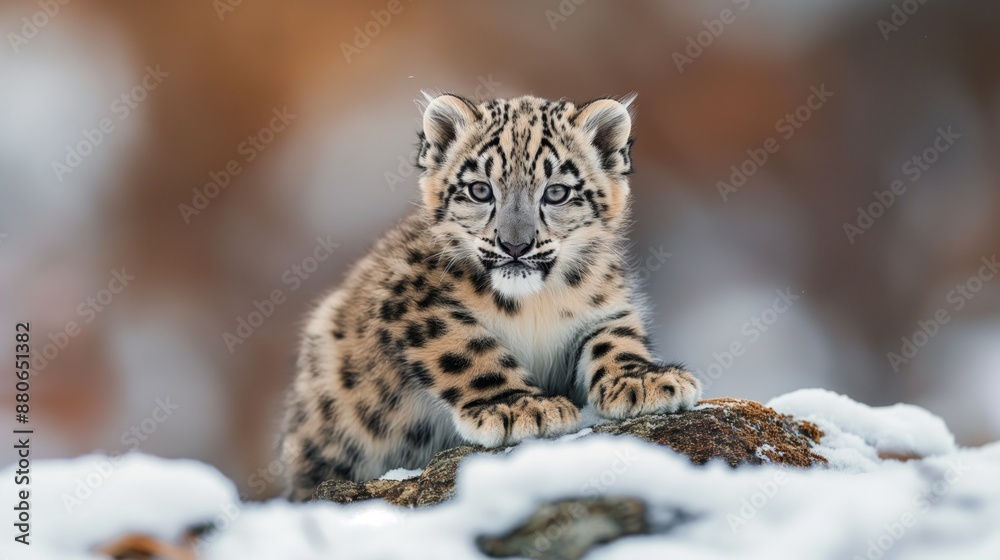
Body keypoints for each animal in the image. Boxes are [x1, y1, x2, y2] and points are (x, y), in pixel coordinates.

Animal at [278, 93, 702, 501]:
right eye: (480, 189)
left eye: (557, 192)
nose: (515, 245)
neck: (533, 305)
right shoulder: (415, 303)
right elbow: (468, 349)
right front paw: (519, 407)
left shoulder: (606, 304)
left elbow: (615, 338)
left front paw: (644, 380)